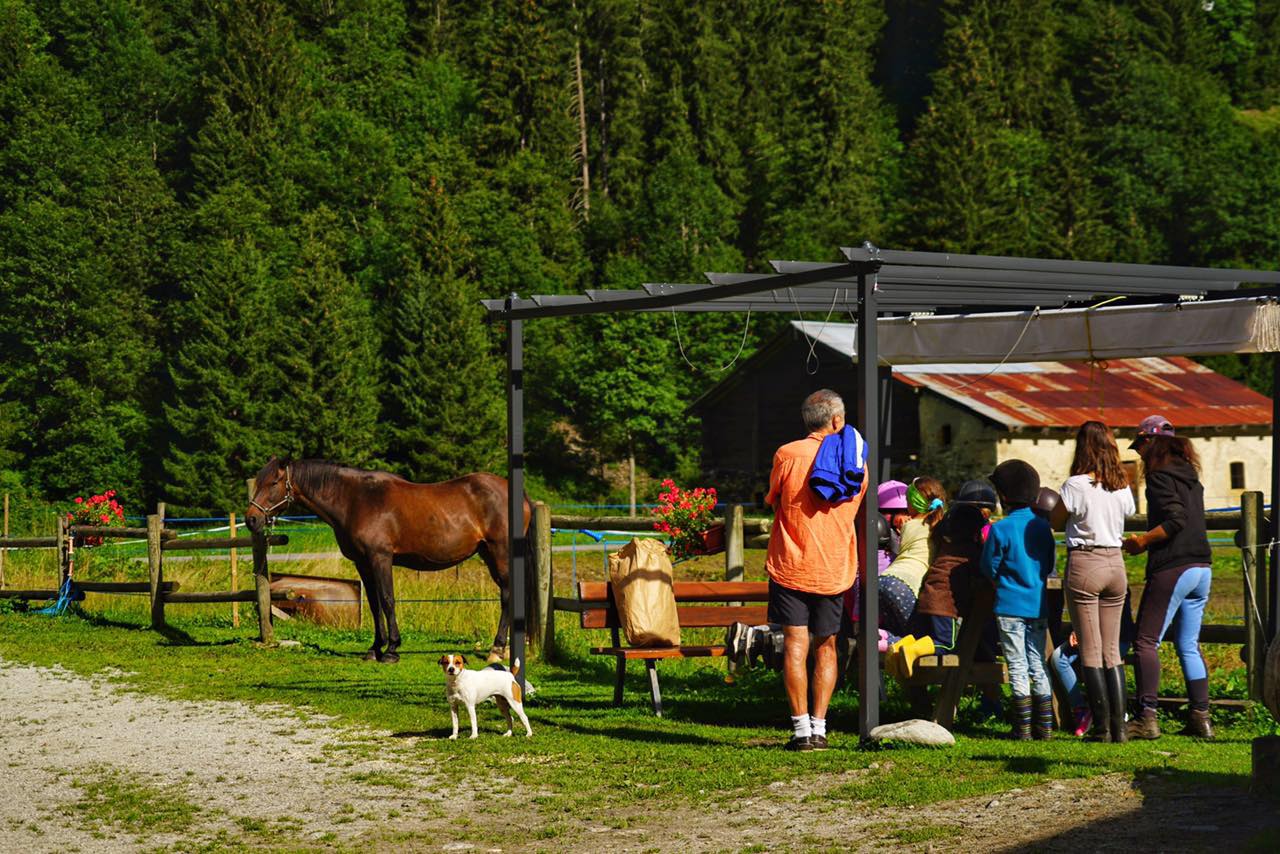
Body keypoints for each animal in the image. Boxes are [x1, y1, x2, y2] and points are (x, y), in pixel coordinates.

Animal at [241, 458, 527, 665]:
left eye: (274, 482)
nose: (251, 519)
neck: (356, 500)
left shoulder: (380, 558)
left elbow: (388, 600)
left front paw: (391, 650)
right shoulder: (363, 563)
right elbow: (373, 604)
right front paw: (374, 649)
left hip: (499, 553)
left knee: (507, 595)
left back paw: (497, 649)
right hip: (488, 554)